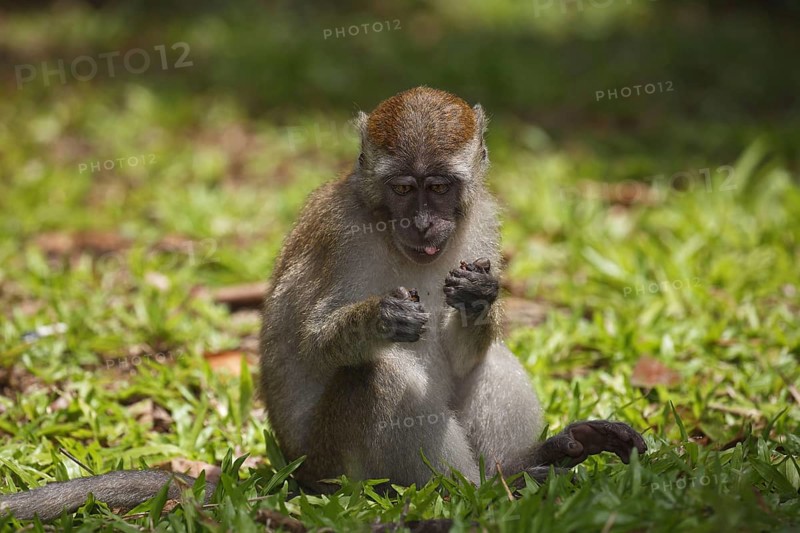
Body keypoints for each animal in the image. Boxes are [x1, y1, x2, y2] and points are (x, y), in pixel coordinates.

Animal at [0, 87, 646, 522]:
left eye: (439, 187)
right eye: (403, 187)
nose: (423, 222)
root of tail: (300, 479)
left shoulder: (482, 221)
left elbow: (470, 348)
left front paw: (480, 298)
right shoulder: (342, 234)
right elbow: (313, 342)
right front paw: (379, 317)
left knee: (492, 363)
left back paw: (533, 465)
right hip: (334, 464)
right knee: (383, 376)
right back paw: (488, 490)